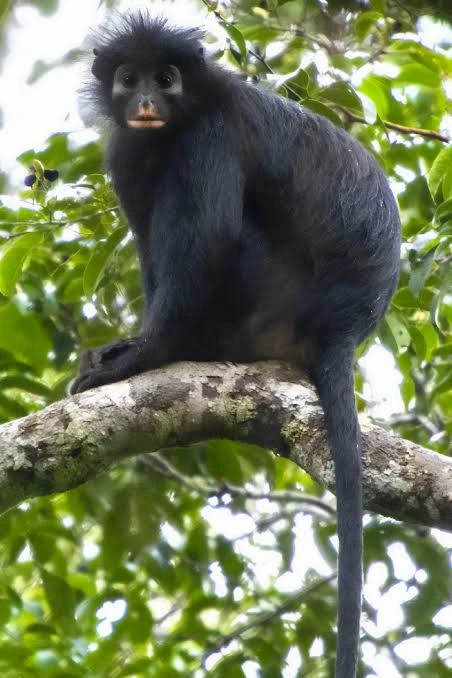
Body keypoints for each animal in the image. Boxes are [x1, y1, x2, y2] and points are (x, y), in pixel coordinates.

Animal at [71, 12, 401, 677]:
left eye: (166, 78)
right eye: (129, 78)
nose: (147, 102)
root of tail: (345, 327)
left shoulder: (208, 137)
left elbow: (210, 239)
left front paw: (144, 355)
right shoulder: (128, 150)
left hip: (267, 296)